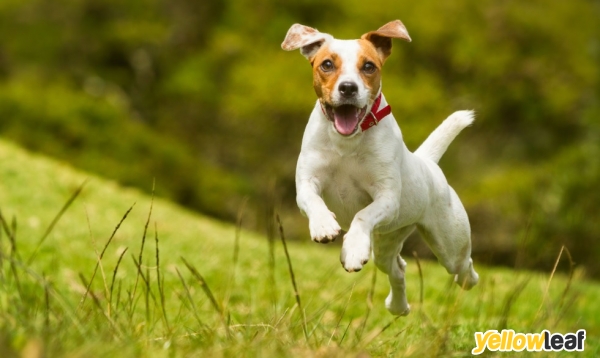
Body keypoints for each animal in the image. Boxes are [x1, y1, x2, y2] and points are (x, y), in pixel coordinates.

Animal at [280, 21, 478, 314]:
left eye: (369, 66)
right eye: (327, 64)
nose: (348, 88)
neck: (347, 142)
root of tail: (428, 162)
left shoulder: (387, 198)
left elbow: (363, 215)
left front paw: (353, 248)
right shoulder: (307, 182)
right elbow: (313, 200)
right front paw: (324, 226)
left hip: (449, 243)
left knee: (464, 266)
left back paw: (466, 280)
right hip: (388, 240)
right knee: (398, 268)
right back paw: (398, 306)